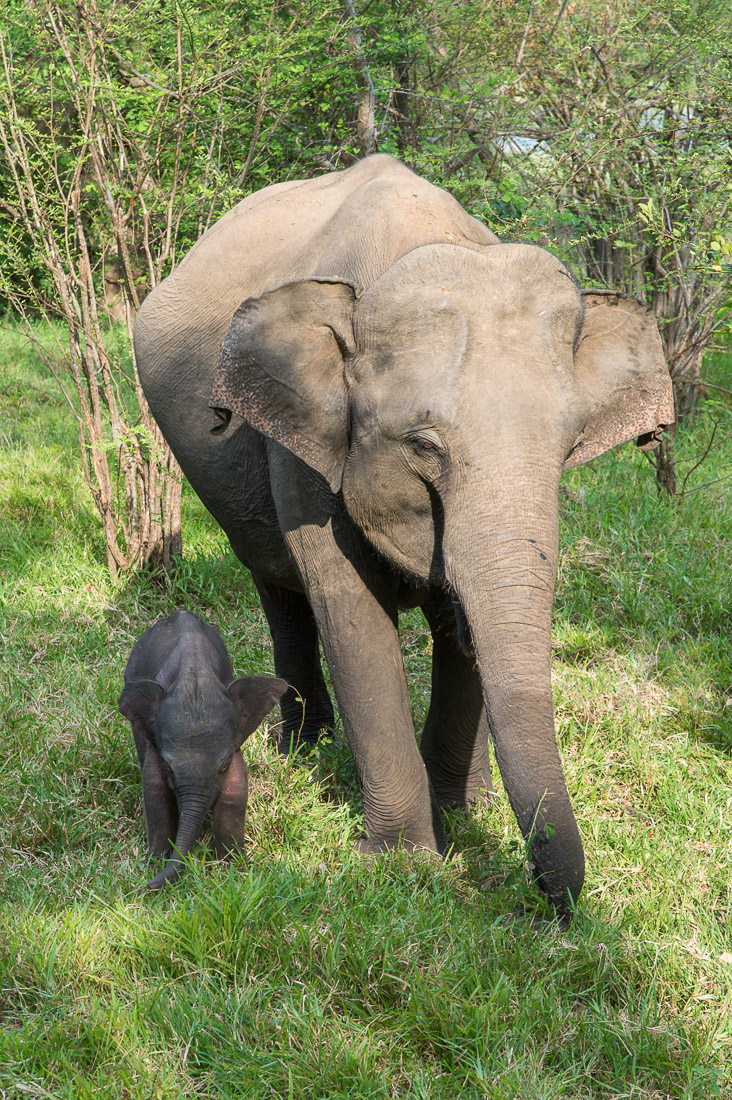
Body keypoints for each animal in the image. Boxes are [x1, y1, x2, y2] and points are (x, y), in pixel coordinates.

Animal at [118, 616, 286, 888]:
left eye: (223, 766)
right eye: (168, 767)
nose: (147, 885)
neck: (194, 675)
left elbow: (236, 787)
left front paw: (232, 868)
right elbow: (153, 787)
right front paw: (155, 863)